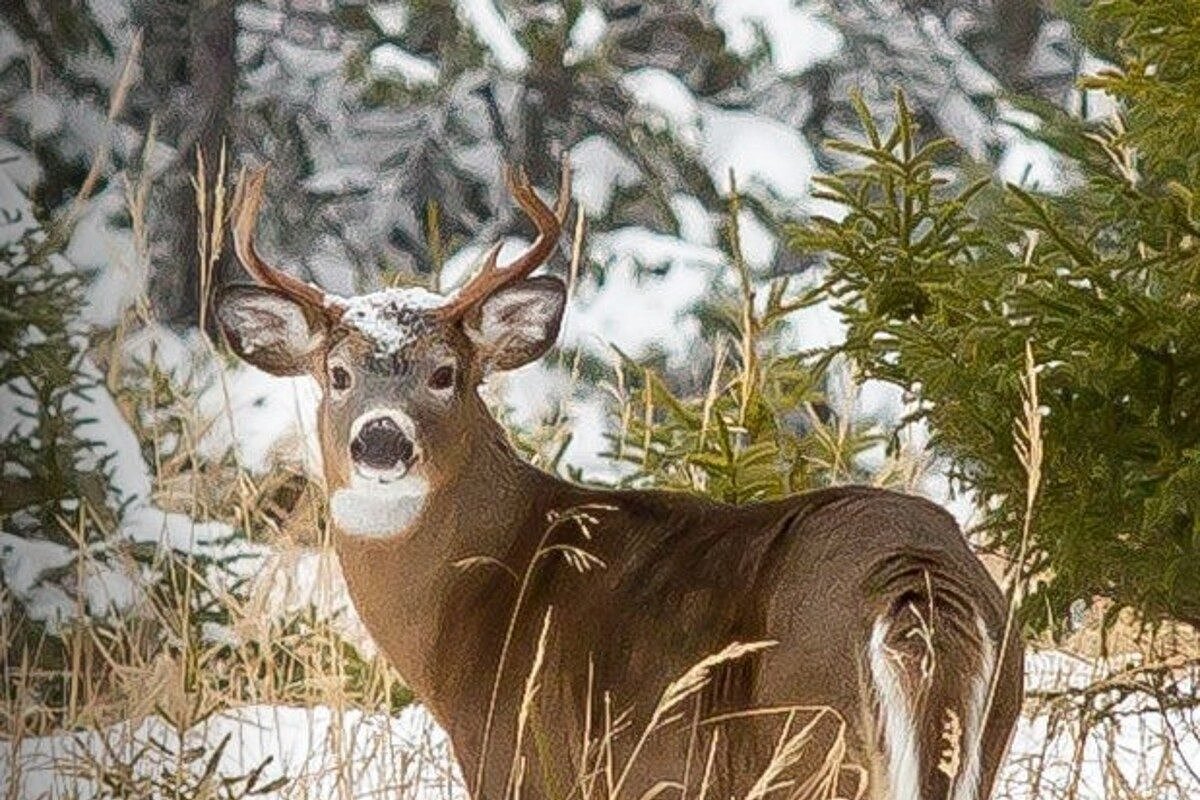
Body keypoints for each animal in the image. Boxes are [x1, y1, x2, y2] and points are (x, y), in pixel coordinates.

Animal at [215, 164, 1023, 800]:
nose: (381, 439)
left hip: (811, 742)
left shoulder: (521, 758)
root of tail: (917, 574)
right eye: (337, 374)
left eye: (446, 373)